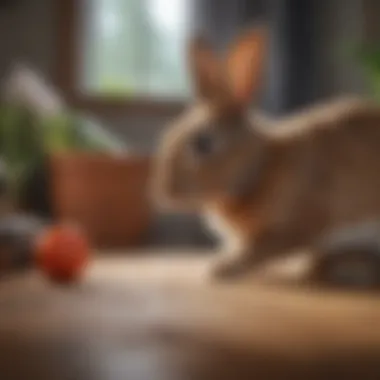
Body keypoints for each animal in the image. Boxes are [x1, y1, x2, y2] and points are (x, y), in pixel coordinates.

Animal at [151, 25, 380, 278]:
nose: (164, 192)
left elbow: (260, 249)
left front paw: (222, 268)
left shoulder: (295, 225)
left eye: (203, 143)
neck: (259, 169)